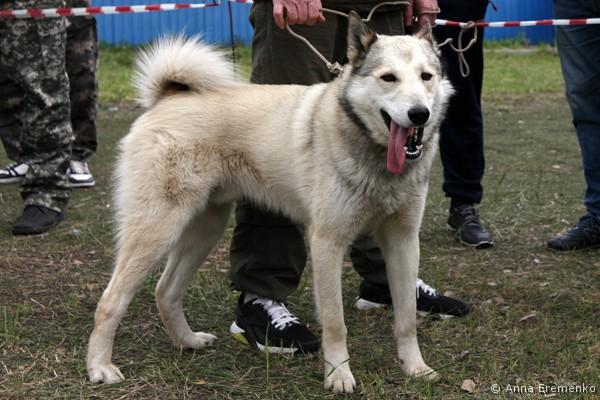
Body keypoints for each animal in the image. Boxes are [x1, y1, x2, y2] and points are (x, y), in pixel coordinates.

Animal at [86, 12, 453, 393]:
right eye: (388, 78)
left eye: (426, 77)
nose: (419, 114)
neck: (374, 154)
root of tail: (168, 96)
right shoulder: (327, 243)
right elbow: (335, 322)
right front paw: (338, 374)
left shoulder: (402, 241)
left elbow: (406, 316)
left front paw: (415, 367)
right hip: (156, 230)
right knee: (111, 300)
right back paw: (100, 367)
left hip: (204, 229)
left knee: (166, 290)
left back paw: (187, 341)